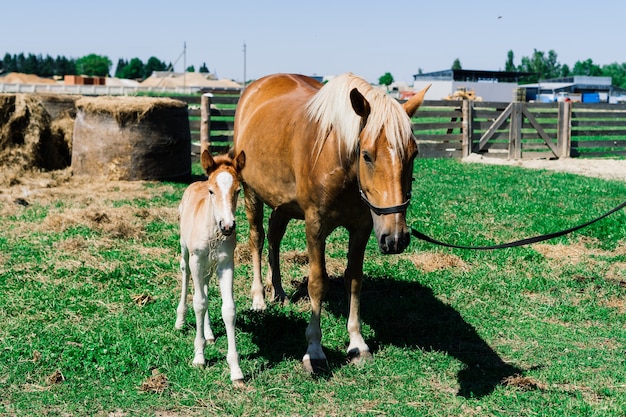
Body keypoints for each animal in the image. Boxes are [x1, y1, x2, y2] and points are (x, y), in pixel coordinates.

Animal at [176, 149, 246, 384]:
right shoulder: (197, 259)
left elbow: (228, 309)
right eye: (211, 191)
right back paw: (180, 321)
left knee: (204, 286)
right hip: (186, 252)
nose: (228, 226)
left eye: (238, 190)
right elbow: (199, 303)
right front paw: (199, 356)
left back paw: (208, 334)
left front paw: (236, 370)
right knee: (186, 275)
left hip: (209, 265)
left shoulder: (226, 263)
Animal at [232, 72, 426, 370]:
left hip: (283, 205)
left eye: (414, 154)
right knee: (258, 238)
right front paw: (314, 349)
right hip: (251, 193)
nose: (395, 238)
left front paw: (357, 343)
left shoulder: (362, 228)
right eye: (366, 155)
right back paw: (259, 298)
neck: (337, 156)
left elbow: (354, 279)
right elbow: (317, 283)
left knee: (274, 238)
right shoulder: (315, 227)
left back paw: (278, 291)